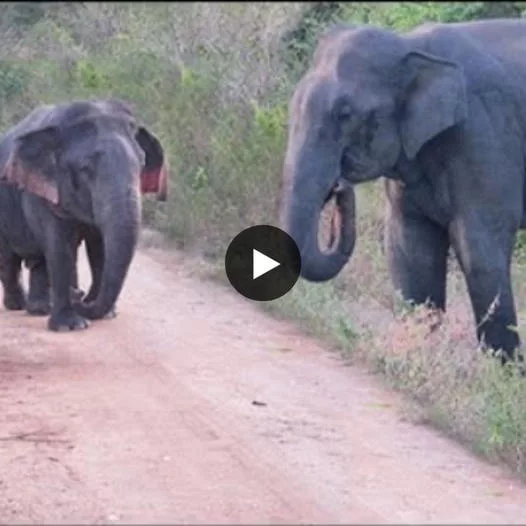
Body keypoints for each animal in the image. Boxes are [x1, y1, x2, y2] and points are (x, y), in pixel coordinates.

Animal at [282, 18, 526, 366]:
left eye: (345, 115)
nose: (340, 185)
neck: (410, 45)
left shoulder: (484, 136)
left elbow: (479, 250)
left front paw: (503, 371)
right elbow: (410, 249)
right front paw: (421, 350)